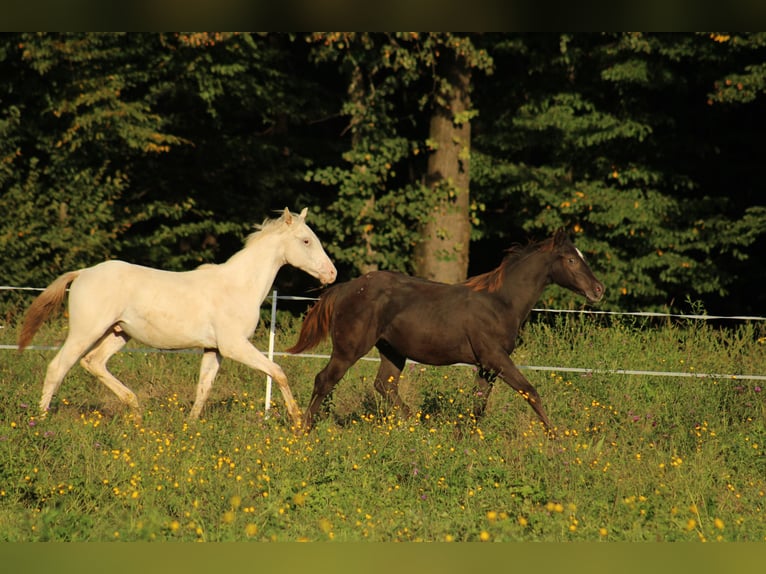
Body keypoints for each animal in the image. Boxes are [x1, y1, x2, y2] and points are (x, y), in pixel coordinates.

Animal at [16, 209, 336, 426]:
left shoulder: (214, 349)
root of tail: (83, 273)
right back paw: (39, 420)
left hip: (118, 333)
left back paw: (136, 410)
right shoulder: (235, 346)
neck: (239, 286)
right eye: (306, 241)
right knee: (58, 367)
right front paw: (297, 420)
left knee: (93, 362)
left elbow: (203, 388)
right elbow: (277, 371)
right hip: (86, 331)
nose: (331, 274)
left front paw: (190, 427)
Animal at [288, 230, 608, 432]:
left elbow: (478, 406)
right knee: (324, 380)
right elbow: (531, 392)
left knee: (384, 386)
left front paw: (460, 439)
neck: (501, 302)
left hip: (393, 351)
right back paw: (304, 430)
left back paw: (416, 425)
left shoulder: (487, 367)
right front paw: (557, 440)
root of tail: (345, 289)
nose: (598, 290)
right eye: (571, 260)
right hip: (349, 349)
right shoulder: (496, 359)